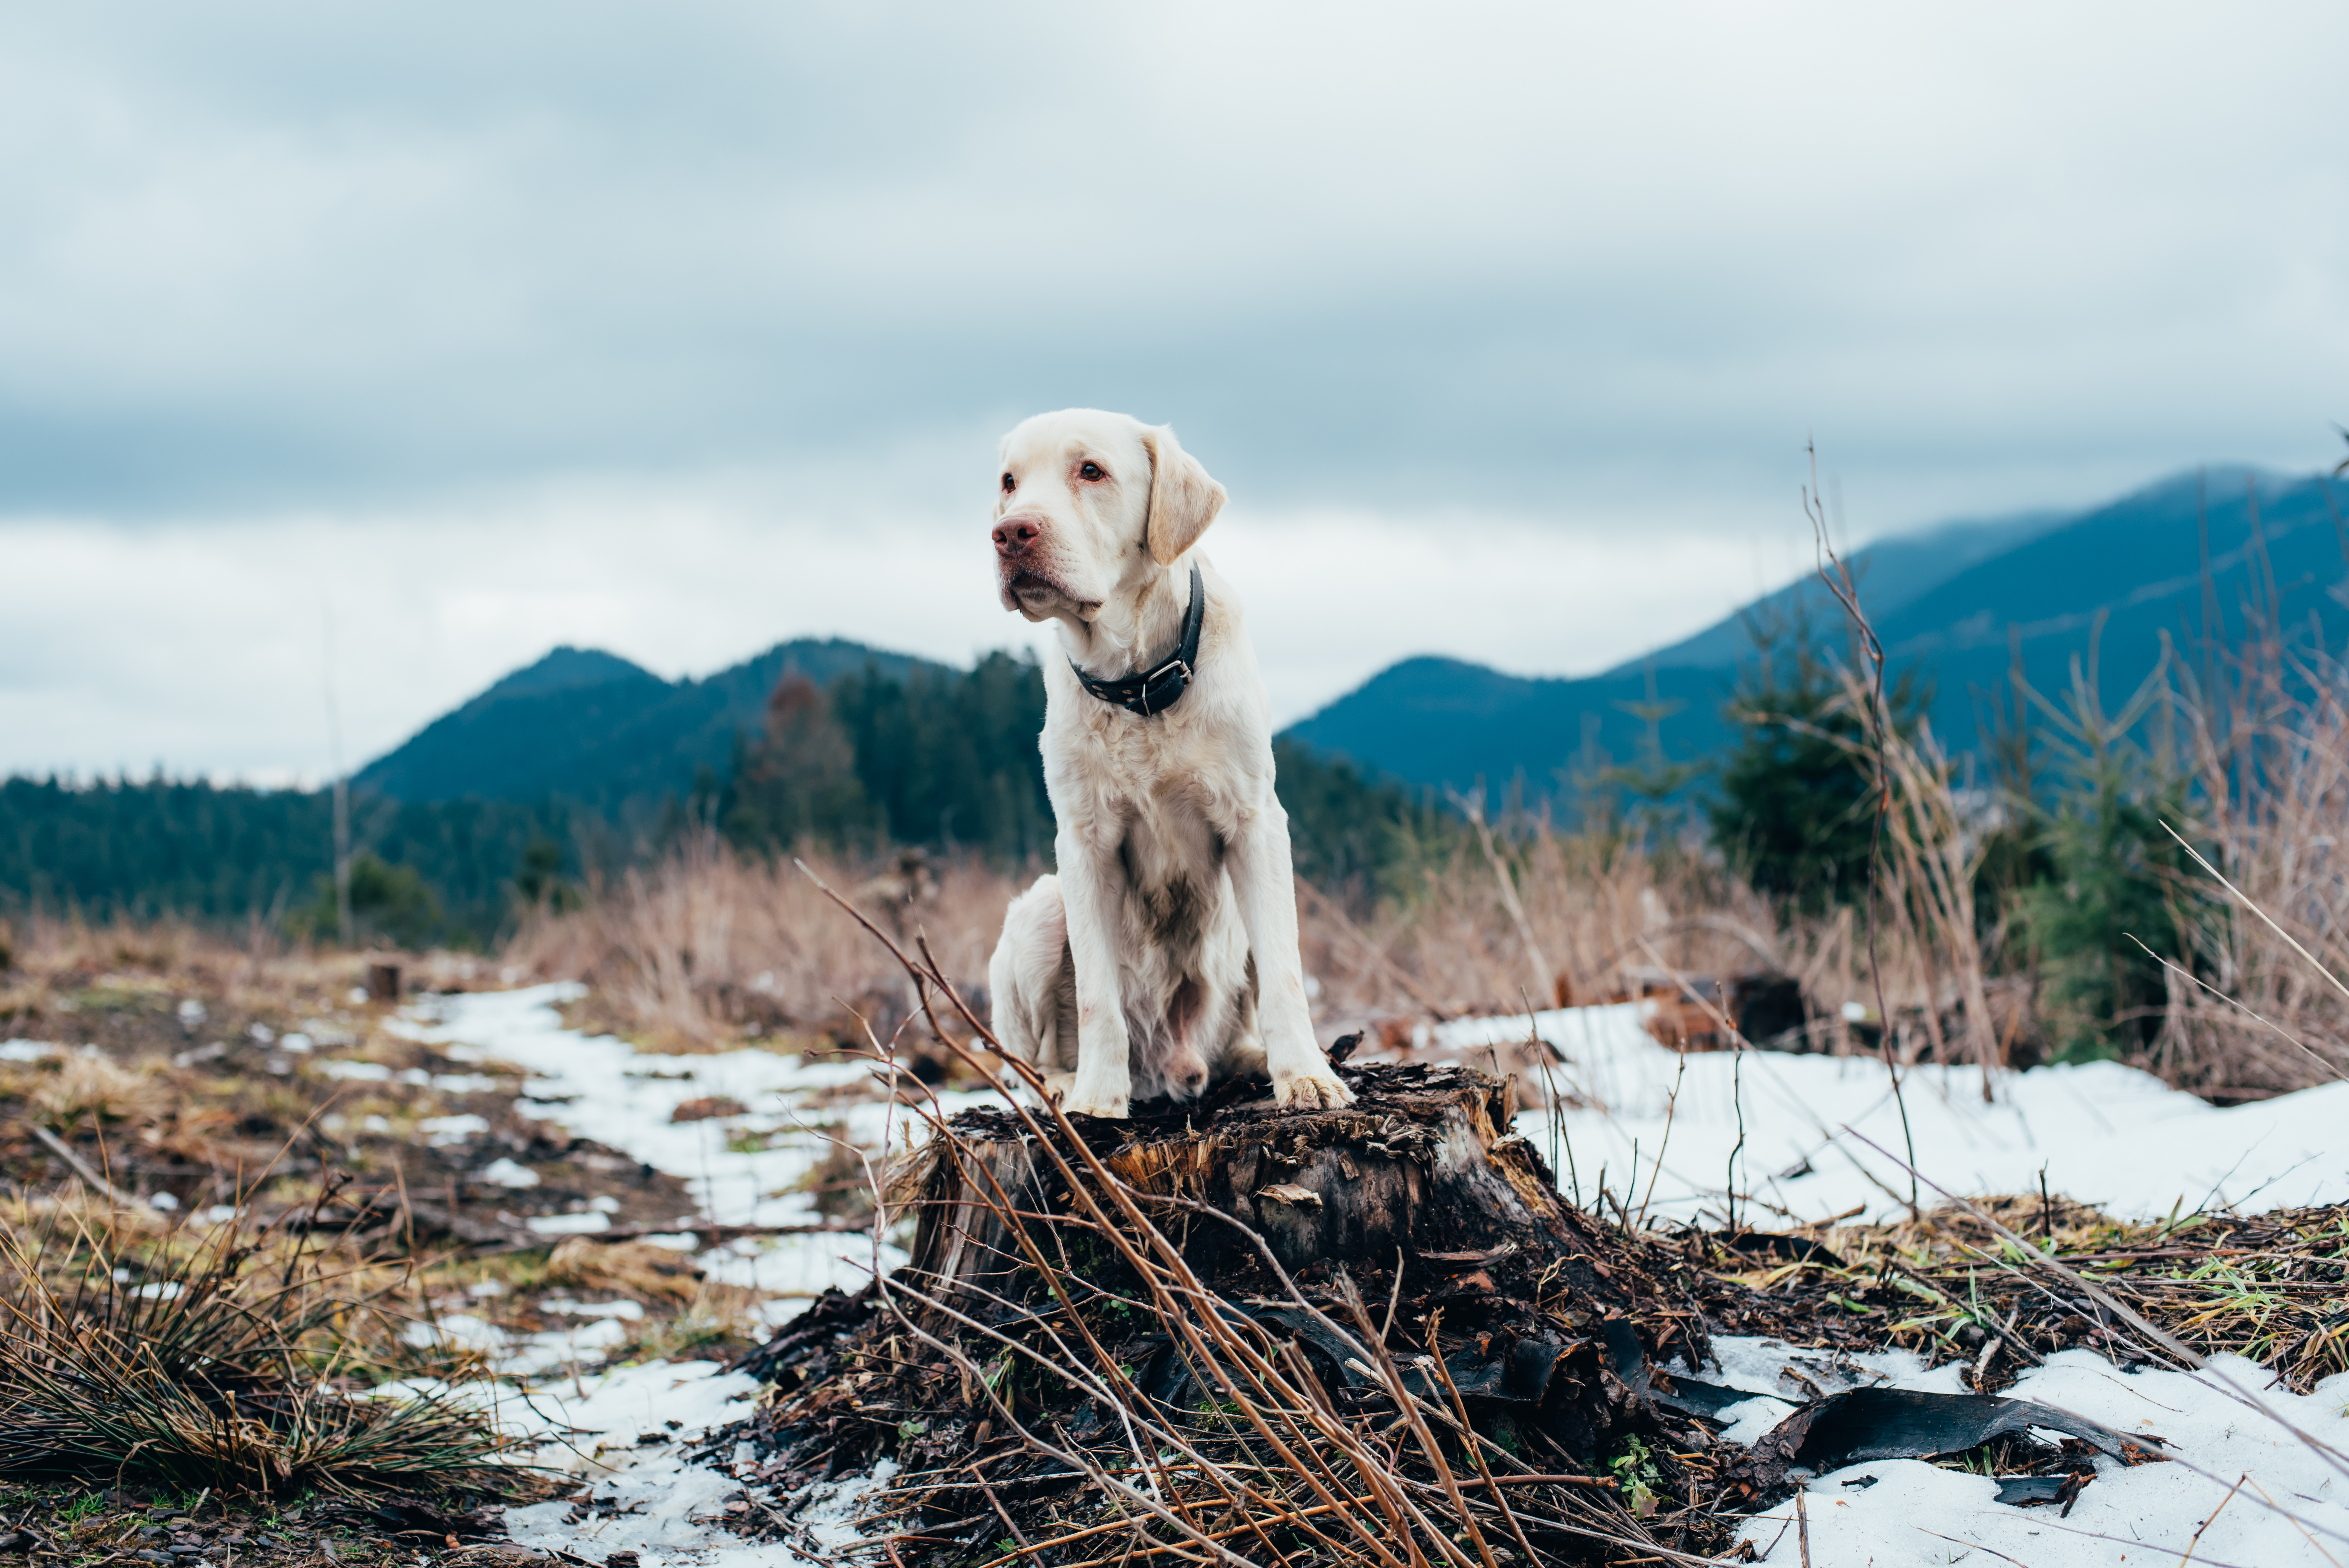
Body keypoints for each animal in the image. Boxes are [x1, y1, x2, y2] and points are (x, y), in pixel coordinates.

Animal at [982, 404, 1353, 1112]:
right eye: (1010, 482)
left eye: (1091, 471)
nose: (1011, 533)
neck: (1139, 688)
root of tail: (1172, 1068)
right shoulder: (1082, 844)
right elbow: (1097, 996)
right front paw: (1099, 1096)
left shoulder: (1257, 824)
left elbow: (1286, 972)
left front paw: (1306, 1074)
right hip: (1041, 908)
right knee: (1026, 1061)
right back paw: (1066, 1086)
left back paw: (1259, 1061)